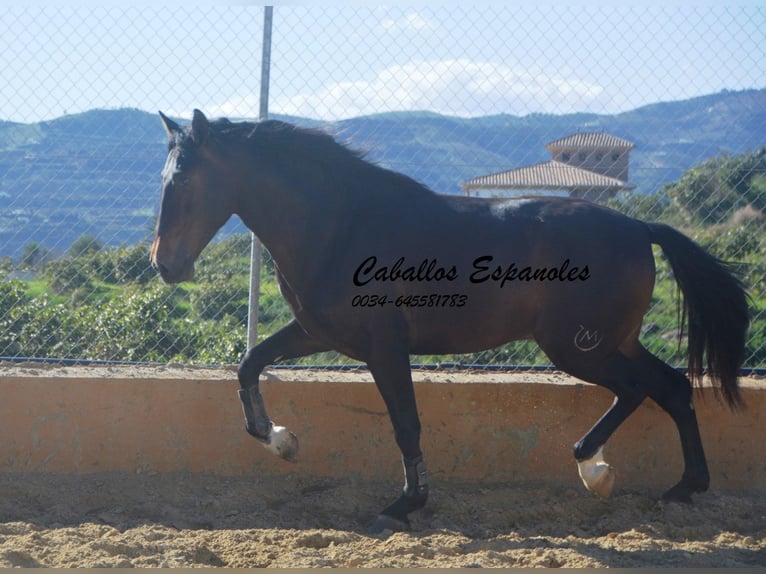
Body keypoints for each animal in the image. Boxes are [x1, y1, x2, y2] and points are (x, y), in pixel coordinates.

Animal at [150, 109, 752, 536]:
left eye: (182, 182)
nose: (164, 264)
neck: (340, 224)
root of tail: (639, 228)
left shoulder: (383, 346)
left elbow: (405, 423)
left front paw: (402, 506)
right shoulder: (319, 333)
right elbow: (249, 363)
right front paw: (280, 441)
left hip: (579, 347)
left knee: (640, 389)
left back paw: (596, 470)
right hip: (611, 342)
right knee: (671, 387)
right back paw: (681, 487)